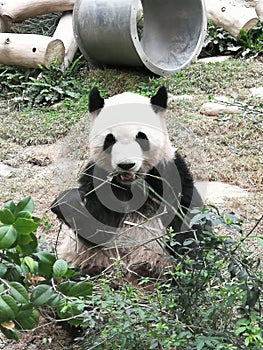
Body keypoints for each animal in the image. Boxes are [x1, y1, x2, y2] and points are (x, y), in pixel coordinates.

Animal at [51, 87, 204, 278]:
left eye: (141, 137)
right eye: (110, 139)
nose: (126, 165)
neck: (130, 185)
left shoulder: (170, 173)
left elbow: (186, 220)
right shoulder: (96, 175)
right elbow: (96, 229)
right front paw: (68, 201)